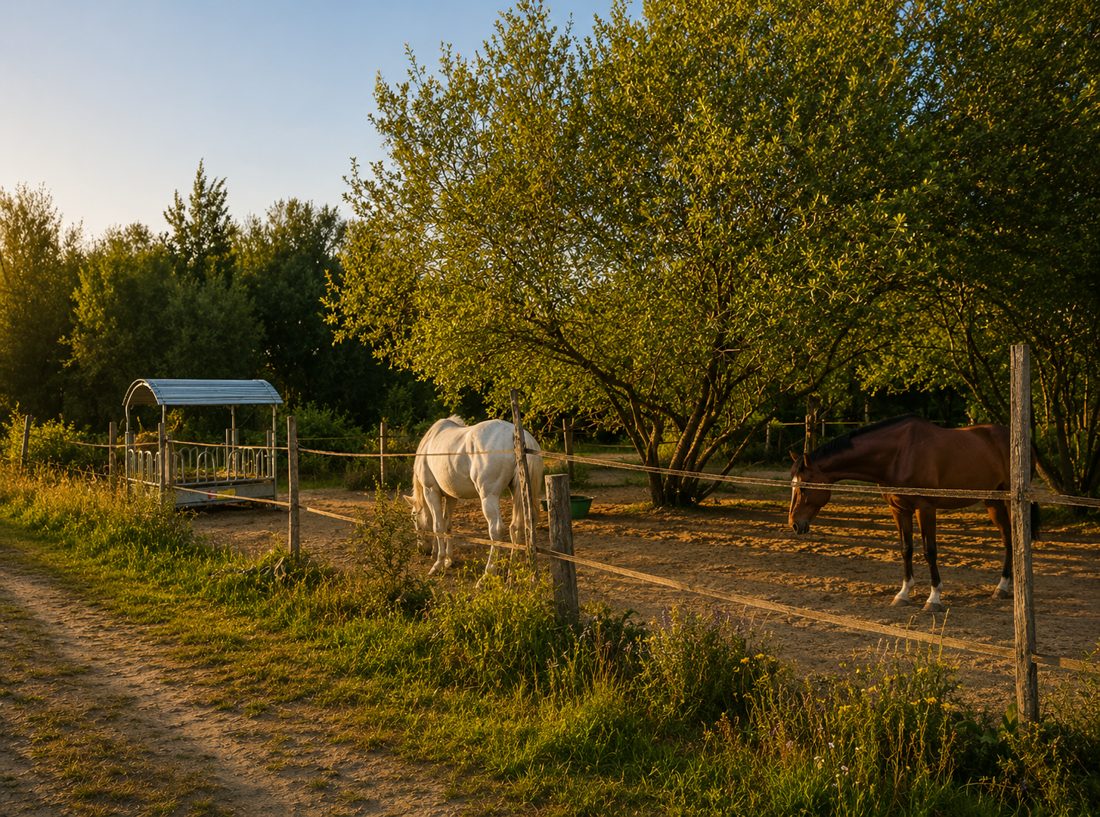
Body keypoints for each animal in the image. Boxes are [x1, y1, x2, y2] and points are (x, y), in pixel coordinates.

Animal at [406, 416, 544, 577]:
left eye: (413, 517)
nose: (422, 550)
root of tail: (518, 437)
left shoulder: (431, 491)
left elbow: (438, 526)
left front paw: (438, 564)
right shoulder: (451, 496)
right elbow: (448, 525)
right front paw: (448, 560)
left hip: (488, 496)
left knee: (496, 530)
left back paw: (488, 574)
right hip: (520, 492)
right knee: (519, 527)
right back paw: (514, 572)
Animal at [788, 415, 1034, 612]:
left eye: (804, 488)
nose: (794, 523)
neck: (899, 454)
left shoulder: (925, 509)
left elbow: (929, 551)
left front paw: (934, 598)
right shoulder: (899, 510)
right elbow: (906, 549)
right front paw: (903, 594)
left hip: (1007, 501)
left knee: (1011, 538)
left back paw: (1003, 587)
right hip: (992, 500)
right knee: (1007, 537)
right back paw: (1002, 588)